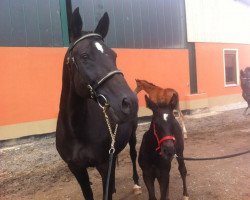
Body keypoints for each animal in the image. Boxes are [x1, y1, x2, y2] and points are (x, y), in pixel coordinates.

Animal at [55, 7, 140, 198]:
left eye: (114, 55)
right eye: (84, 55)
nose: (129, 102)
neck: (77, 130)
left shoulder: (103, 165)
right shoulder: (77, 169)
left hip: (132, 135)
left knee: (133, 154)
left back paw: (137, 184)